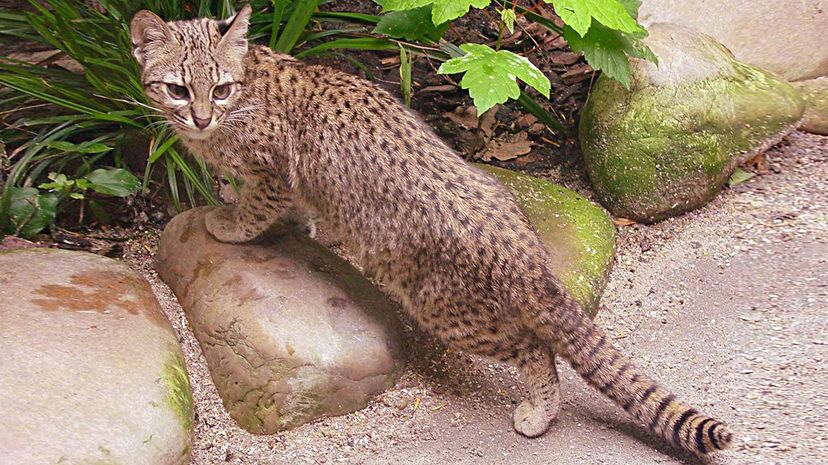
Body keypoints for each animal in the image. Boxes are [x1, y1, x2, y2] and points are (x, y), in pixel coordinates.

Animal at [133, 4, 736, 454]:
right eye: (178, 89)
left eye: (220, 89)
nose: (201, 117)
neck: (251, 80)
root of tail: (523, 252)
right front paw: (298, 224)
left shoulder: (270, 173)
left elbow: (256, 210)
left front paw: (228, 222)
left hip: (448, 310)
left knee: (535, 349)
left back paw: (538, 411)